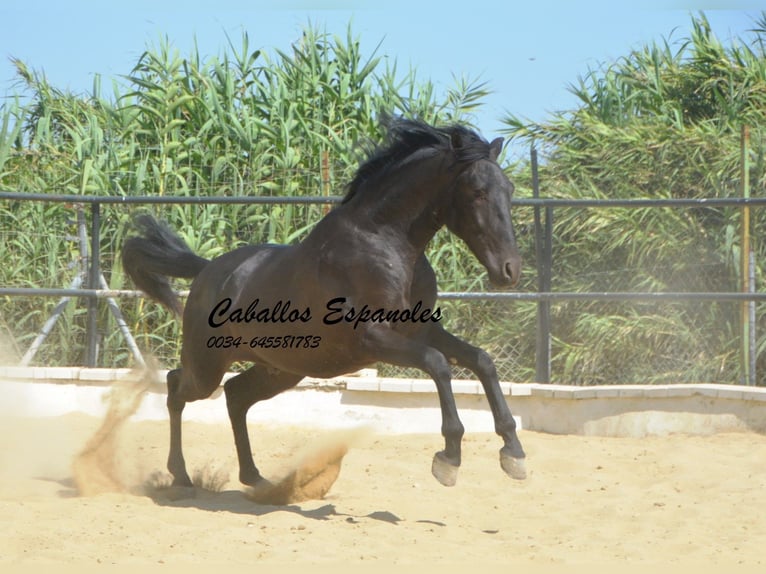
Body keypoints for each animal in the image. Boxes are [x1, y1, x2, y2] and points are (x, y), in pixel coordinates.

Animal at [124, 118, 528, 490]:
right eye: (477, 192)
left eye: (509, 189)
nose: (509, 270)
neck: (385, 243)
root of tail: (206, 270)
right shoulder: (372, 338)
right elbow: (439, 364)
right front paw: (449, 459)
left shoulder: (422, 328)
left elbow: (481, 361)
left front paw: (513, 453)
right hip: (208, 366)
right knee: (176, 388)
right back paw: (180, 475)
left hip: (281, 369)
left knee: (235, 396)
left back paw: (254, 478)